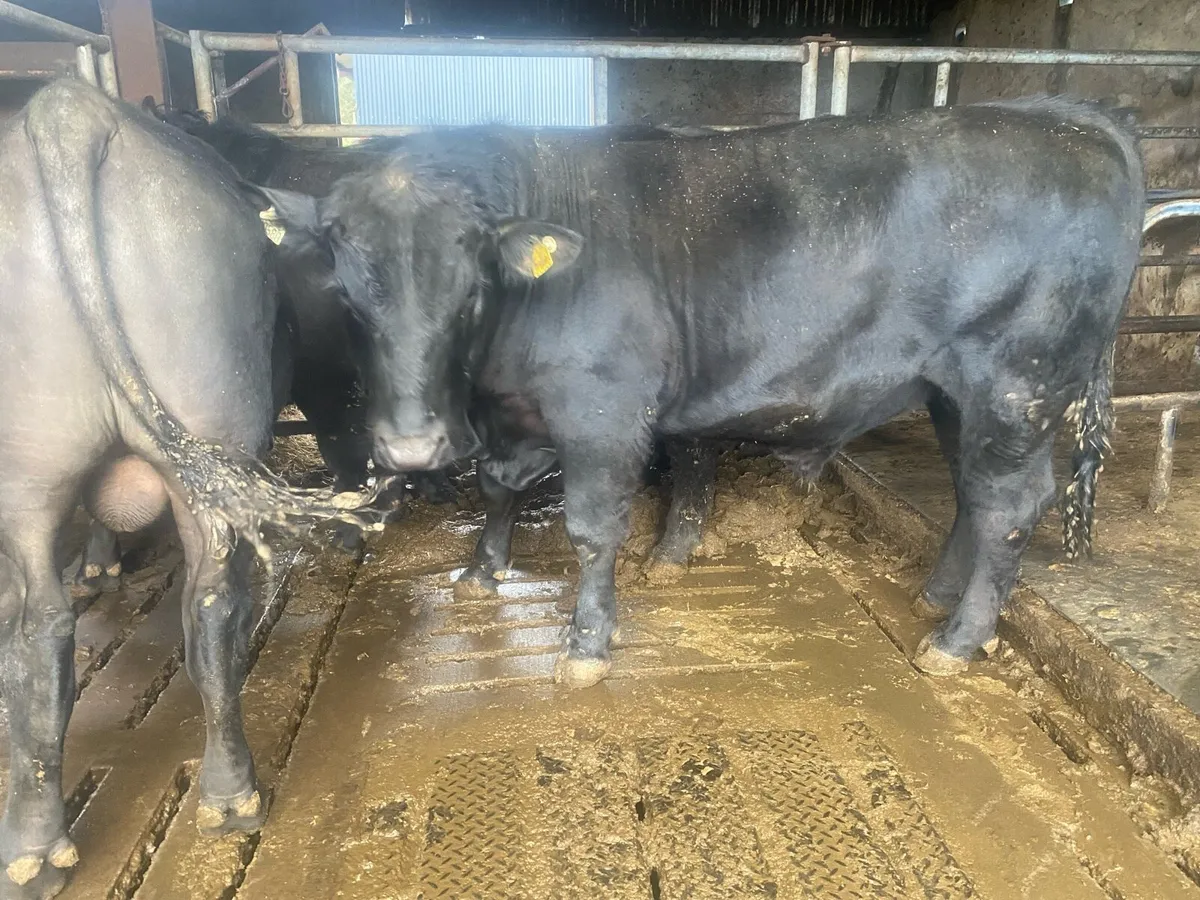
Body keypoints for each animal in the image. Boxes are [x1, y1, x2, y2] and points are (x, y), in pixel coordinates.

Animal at [153, 112, 722, 594]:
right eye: (346, 298)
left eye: (470, 294)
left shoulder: (325, 380)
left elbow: (344, 451)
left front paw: (361, 524)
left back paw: (671, 549)